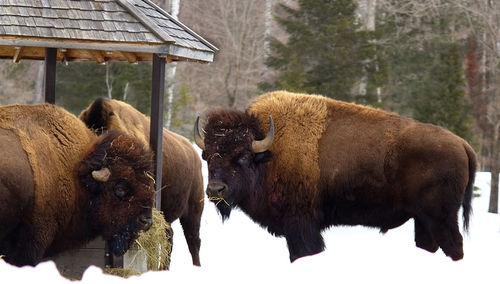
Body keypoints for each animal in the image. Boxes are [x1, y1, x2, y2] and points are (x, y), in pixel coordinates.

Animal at [194, 90, 476, 262]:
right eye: (207, 156)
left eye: (242, 156)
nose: (215, 190)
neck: (268, 153)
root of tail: (462, 144)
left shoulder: (301, 225)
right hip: (424, 220)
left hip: (442, 219)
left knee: (455, 246)